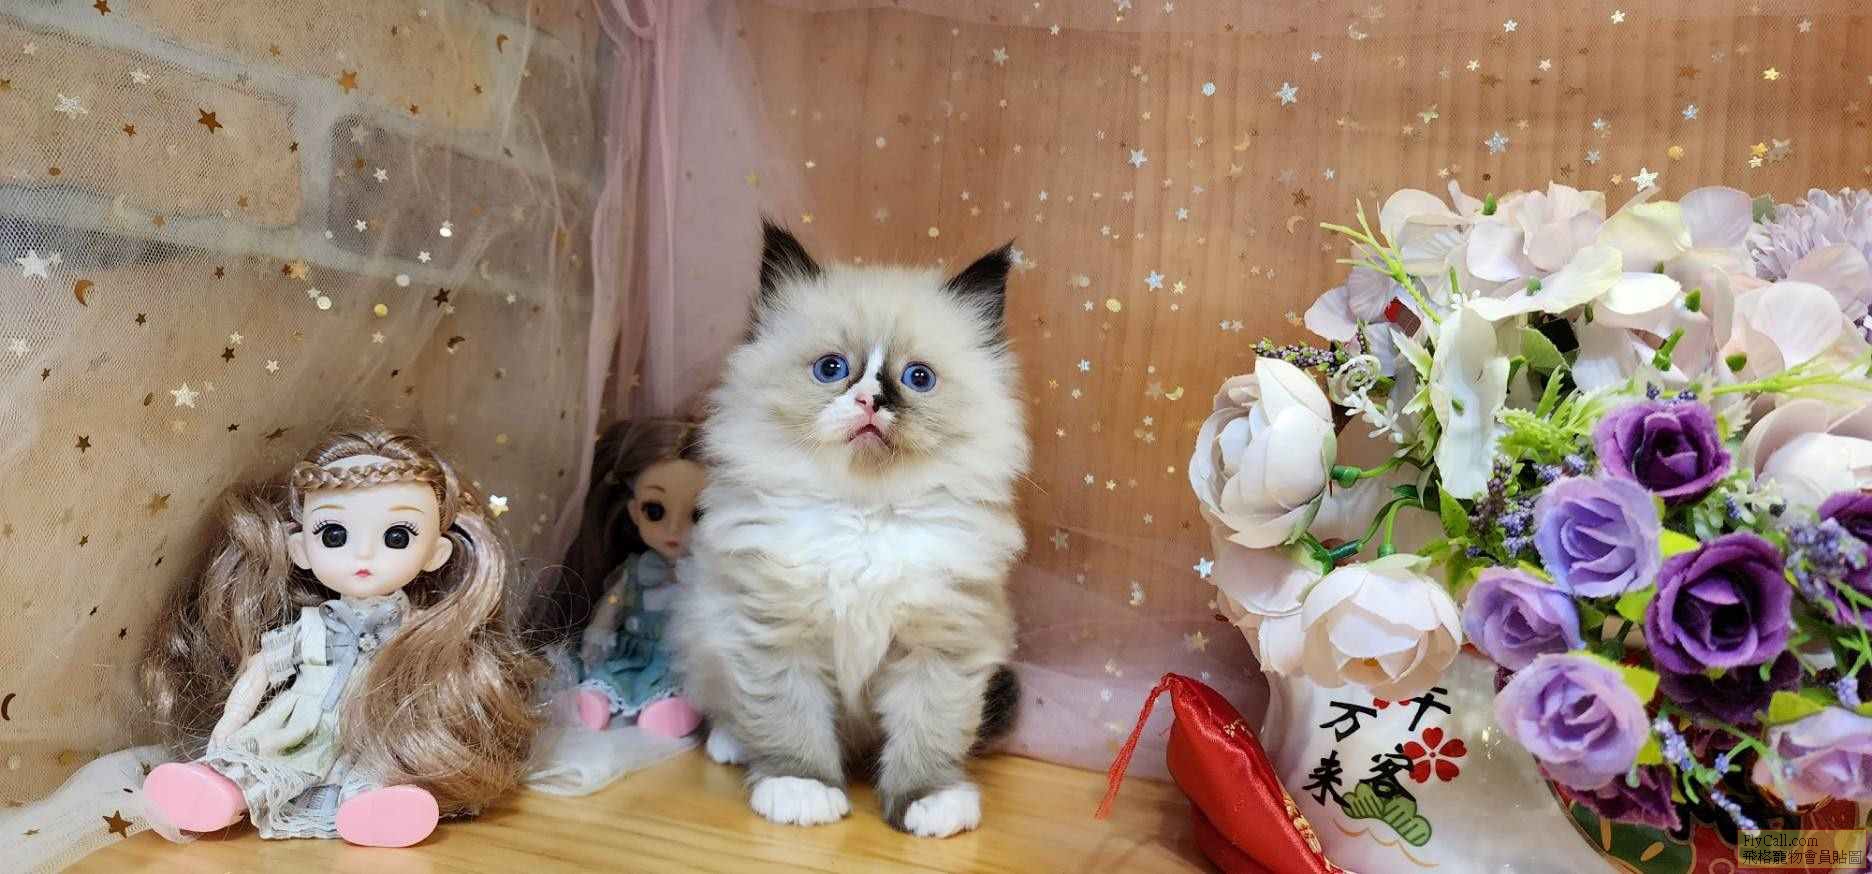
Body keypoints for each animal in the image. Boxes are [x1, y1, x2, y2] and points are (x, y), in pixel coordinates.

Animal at [668, 222, 1029, 839]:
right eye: (832, 369)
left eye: (917, 378)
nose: (871, 401)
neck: (864, 517)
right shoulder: (777, 635)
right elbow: (790, 724)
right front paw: (801, 789)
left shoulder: (940, 645)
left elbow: (928, 735)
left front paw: (928, 803)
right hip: (707, 631)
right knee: (726, 703)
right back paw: (732, 746)